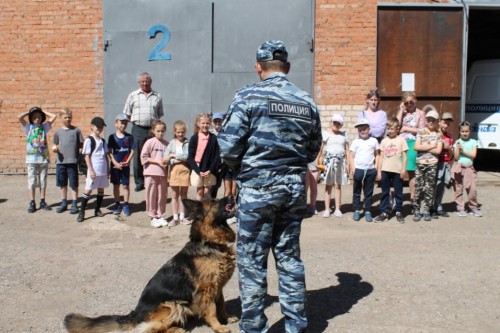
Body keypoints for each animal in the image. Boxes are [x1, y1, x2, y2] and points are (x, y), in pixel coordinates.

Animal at [64, 197, 238, 332]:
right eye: (214, 202)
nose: (231, 195)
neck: (209, 243)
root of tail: (135, 314)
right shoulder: (206, 290)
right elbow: (212, 310)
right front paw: (218, 326)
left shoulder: (218, 287)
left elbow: (221, 305)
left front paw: (227, 318)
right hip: (173, 306)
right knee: (150, 328)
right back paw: (175, 330)